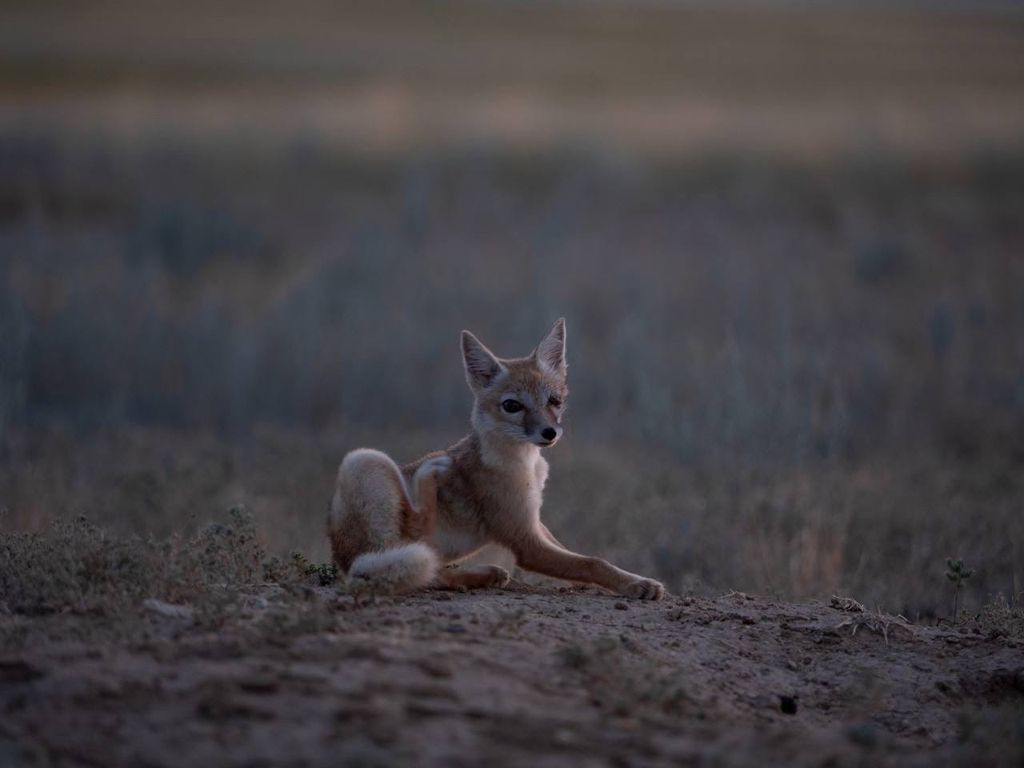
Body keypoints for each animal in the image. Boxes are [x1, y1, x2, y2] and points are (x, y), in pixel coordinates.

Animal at [325, 319, 663, 602]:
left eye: (554, 401)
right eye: (512, 406)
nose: (549, 432)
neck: (527, 464)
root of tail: (344, 563)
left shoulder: (533, 520)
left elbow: (574, 555)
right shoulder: (525, 541)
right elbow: (592, 562)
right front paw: (636, 584)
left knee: (432, 569)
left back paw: (484, 574)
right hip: (364, 459)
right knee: (417, 549)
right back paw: (431, 474)